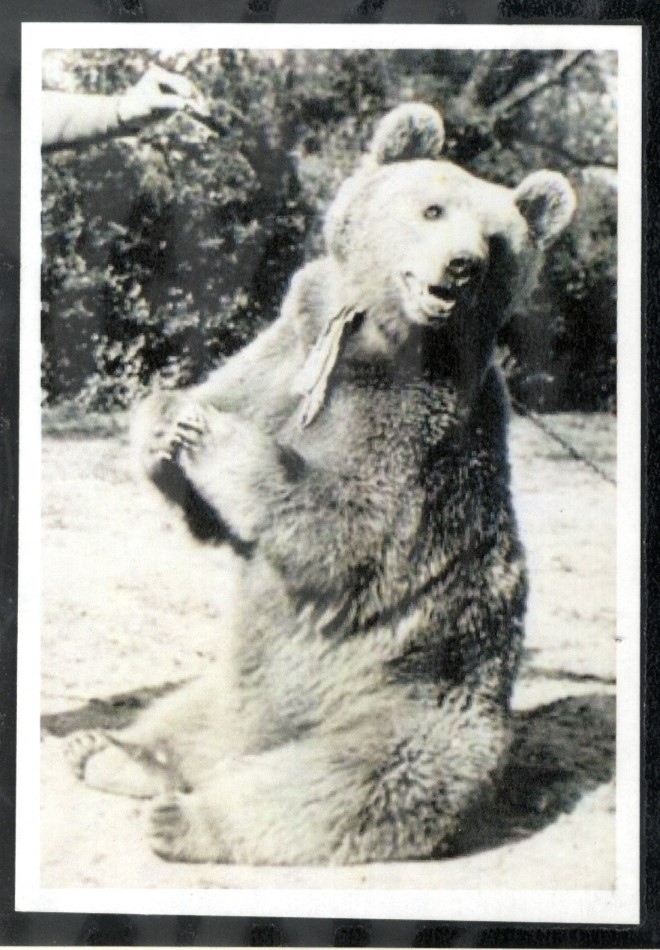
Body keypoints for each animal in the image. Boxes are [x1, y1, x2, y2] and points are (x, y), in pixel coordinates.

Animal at [69, 103, 576, 865]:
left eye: (496, 241)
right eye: (433, 208)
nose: (461, 266)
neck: (370, 343)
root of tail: (254, 740)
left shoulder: (417, 436)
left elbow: (349, 530)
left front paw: (217, 440)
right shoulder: (289, 351)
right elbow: (214, 445)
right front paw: (169, 423)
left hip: (412, 706)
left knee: (338, 786)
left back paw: (184, 819)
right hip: (226, 684)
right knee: (184, 716)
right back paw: (109, 752)